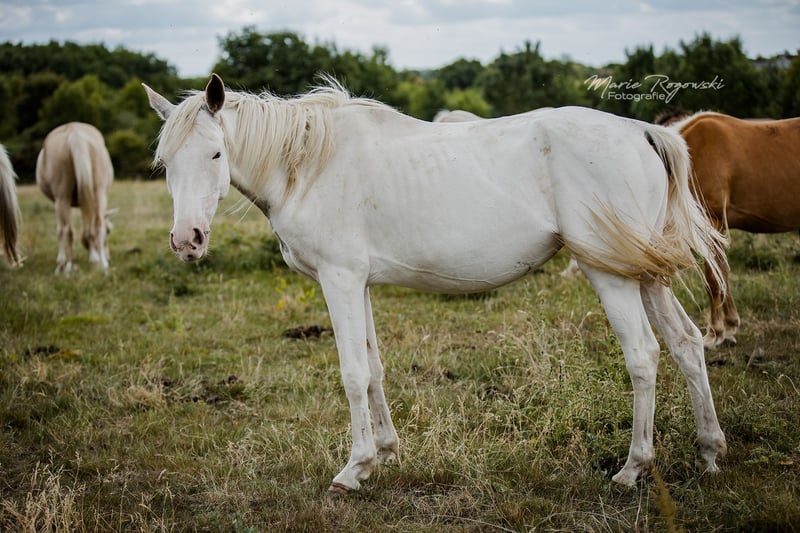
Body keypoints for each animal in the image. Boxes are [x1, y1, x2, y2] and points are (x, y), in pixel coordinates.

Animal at [36, 122, 114, 274]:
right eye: (109, 232)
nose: (109, 258)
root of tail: (74, 131)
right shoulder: (86, 200)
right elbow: (89, 229)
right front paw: (95, 258)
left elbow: (60, 230)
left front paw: (61, 264)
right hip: (98, 192)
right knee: (97, 224)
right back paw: (102, 264)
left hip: (62, 198)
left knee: (68, 230)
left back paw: (69, 265)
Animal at [144, 74, 727, 494]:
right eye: (166, 162)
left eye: (216, 154)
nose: (187, 240)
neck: (309, 165)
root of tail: (644, 132)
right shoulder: (359, 284)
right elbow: (374, 368)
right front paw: (383, 455)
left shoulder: (339, 279)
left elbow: (353, 373)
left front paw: (351, 470)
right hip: (644, 273)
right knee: (686, 344)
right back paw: (709, 453)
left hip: (611, 273)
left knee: (643, 355)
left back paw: (632, 469)